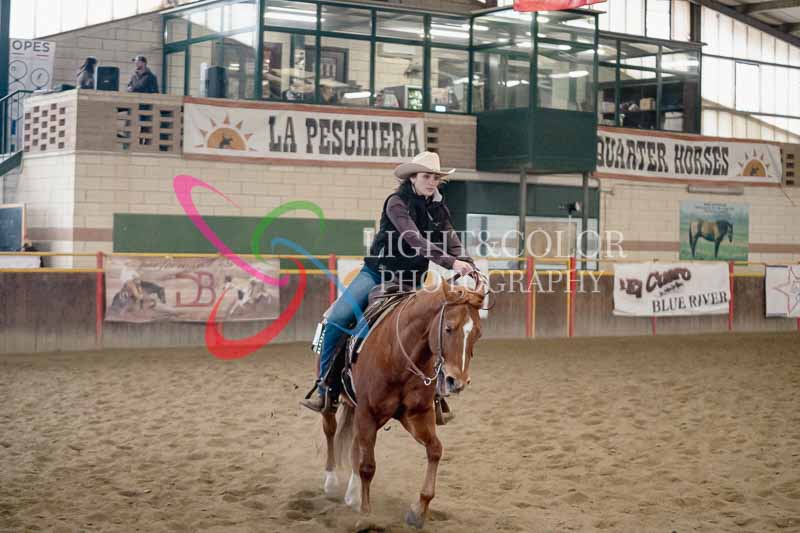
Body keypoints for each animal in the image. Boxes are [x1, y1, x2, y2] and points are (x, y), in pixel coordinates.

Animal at [318, 271, 488, 529]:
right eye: (449, 328)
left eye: (477, 333)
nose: (456, 382)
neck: (398, 355)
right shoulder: (368, 412)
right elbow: (368, 467)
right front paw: (367, 514)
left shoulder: (416, 415)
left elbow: (435, 450)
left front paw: (418, 511)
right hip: (336, 400)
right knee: (330, 429)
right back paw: (331, 482)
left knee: (356, 443)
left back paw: (352, 494)